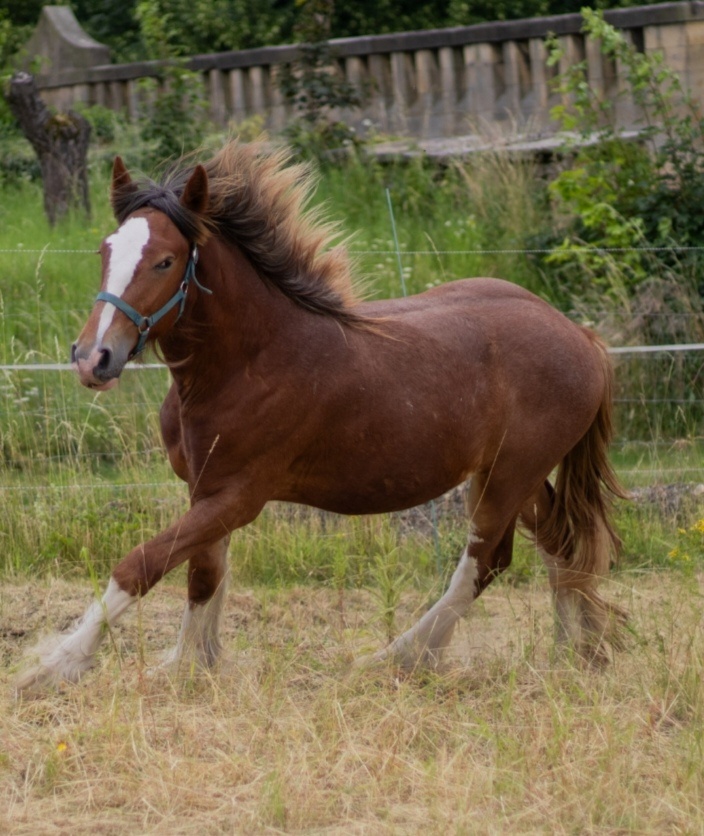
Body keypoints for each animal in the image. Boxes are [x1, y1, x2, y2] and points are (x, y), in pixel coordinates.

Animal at [16, 140, 627, 692]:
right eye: (105, 252)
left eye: (165, 261)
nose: (93, 358)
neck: (249, 362)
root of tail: (583, 337)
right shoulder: (204, 488)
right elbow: (202, 574)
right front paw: (191, 665)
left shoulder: (238, 495)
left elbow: (142, 564)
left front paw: (49, 668)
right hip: (517, 475)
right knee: (557, 544)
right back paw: (571, 654)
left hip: (507, 477)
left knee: (485, 561)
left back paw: (396, 659)